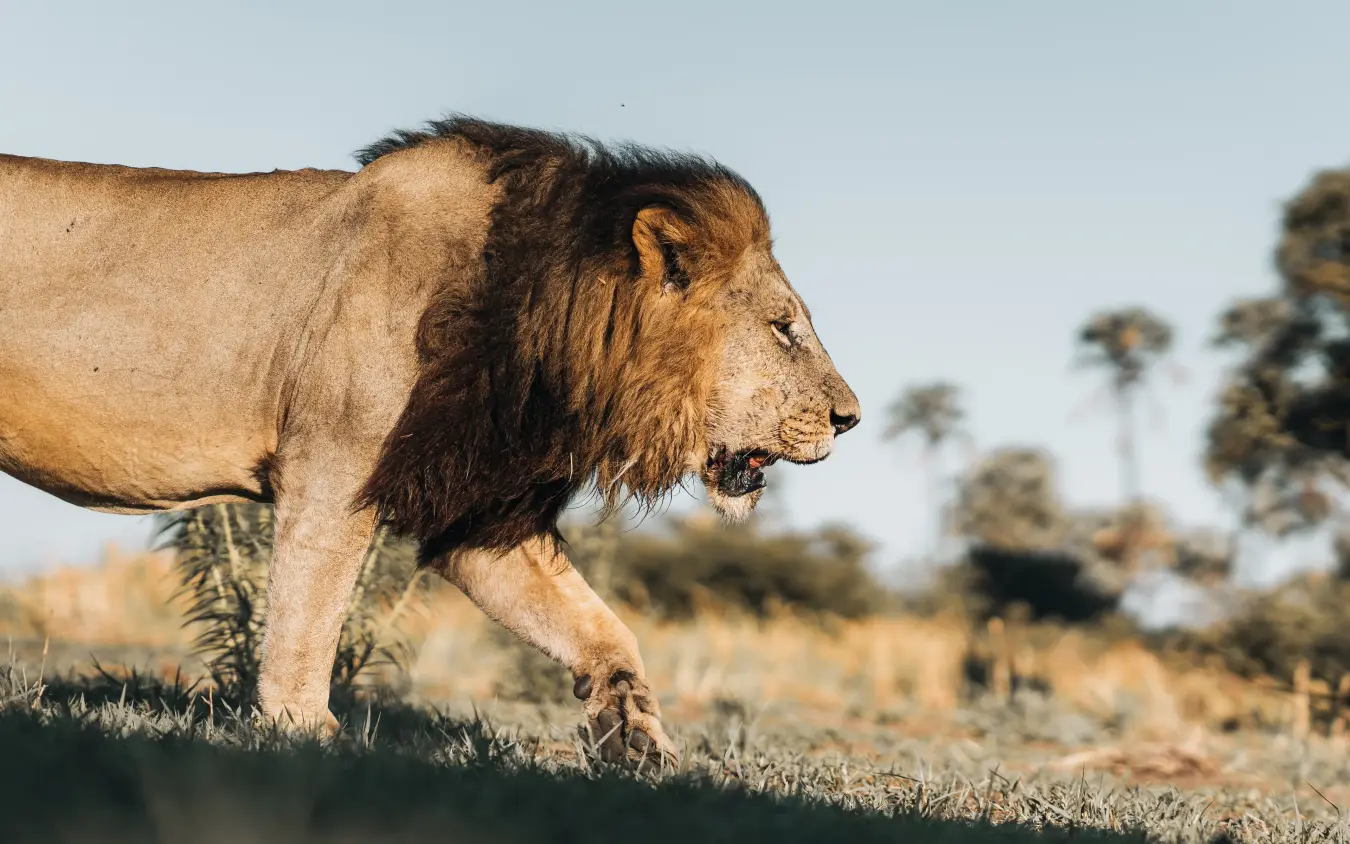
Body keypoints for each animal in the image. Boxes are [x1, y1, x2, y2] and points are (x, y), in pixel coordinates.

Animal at [0, 116, 860, 761]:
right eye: (783, 329)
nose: (849, 418)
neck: (545, 334)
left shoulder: (478, 512)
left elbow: (599, 625)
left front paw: (635, 734)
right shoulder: (331, 474)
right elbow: (308, 614)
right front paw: (302, 729)